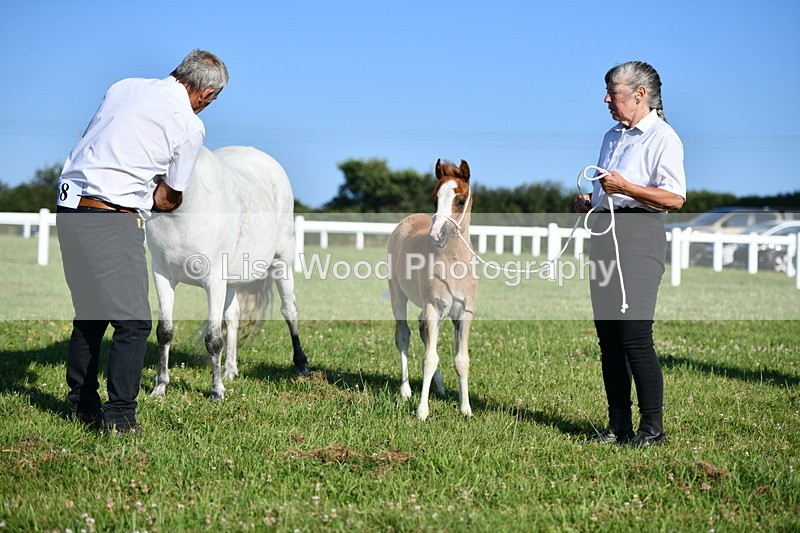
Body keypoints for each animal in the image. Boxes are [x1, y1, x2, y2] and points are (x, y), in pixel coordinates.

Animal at [145, 145, 310, 400]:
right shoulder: (162, 276)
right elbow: (165, 332)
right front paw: (160, 387)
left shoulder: (213, 281)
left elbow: (213, 339)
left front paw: (216, 392)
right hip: (230, 282)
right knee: (233, 317)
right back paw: (230, 370)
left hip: (281, 263)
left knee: (289, 310)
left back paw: (301, 364)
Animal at [387, 159, 478, 420]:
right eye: (434, 198)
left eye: (461, 200)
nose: (437, 234)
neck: (454, 264)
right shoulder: (433, 308)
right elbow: (429, 359)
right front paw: (422, 410)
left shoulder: (464, 314)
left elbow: (461, 360)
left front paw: (466, 409)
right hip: (398, 295)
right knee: (404, 335)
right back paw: (406, 390)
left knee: (423, 332)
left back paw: (440, 387)